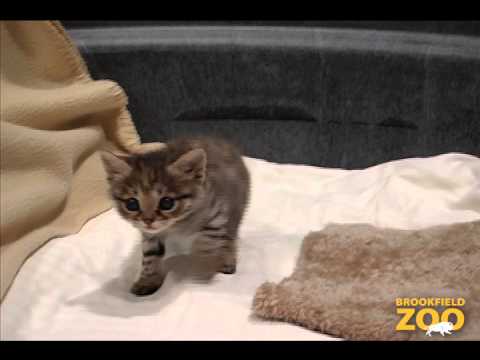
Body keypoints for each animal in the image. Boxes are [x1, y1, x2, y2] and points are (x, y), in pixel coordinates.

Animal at [101, 136, 251, 296]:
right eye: (132, 204)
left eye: (167, 203)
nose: (148, 220)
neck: (178, 224)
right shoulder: (150, 234)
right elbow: (150, 256)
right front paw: (148, 280)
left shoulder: (217, 211)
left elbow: (210, 238)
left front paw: (205, 255)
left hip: (236, 205)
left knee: (230, 236)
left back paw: (227, 258)